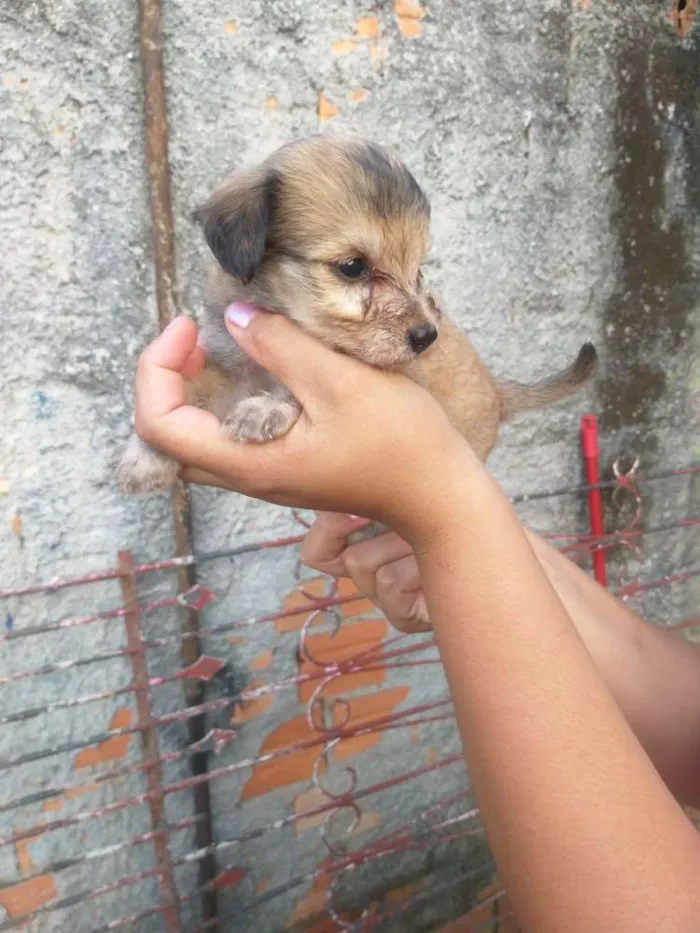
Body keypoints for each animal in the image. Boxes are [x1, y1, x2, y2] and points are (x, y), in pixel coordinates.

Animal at [116, 137, 596, 496]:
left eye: (418, 271)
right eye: (352, 268)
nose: (427, 337)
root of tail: (498, 389)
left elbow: (291, 390)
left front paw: (267, 408)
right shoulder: (229, 363)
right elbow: (193, 387)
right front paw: (146, 455)